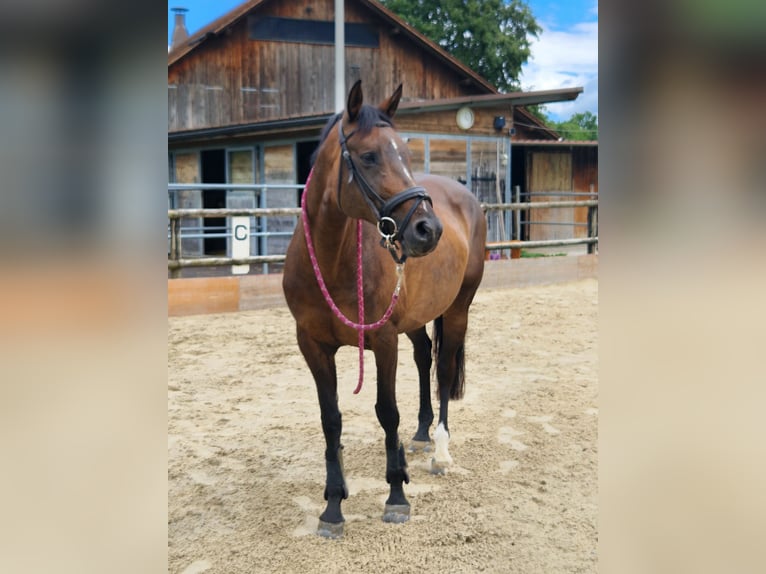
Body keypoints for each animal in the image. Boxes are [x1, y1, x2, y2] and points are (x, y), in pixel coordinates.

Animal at [282, 80, 487, 538]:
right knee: (423, 357)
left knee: (443, 371)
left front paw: (396, 496)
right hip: (413, 319)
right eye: (370, 156)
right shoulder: (312, 345)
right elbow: (331, 419)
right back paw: (422, 434)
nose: (429, 230)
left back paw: (440, 451)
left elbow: (387, 412)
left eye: (407, 155)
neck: (333, 260)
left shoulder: (383, 340)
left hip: (458, 309)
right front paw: (333, 505)